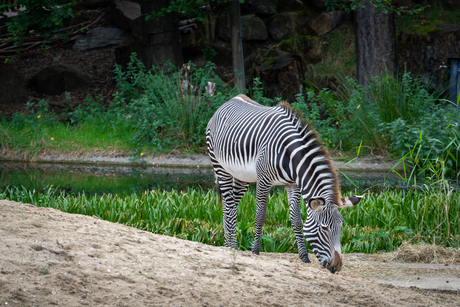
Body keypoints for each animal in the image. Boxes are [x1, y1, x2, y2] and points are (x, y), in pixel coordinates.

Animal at [206, 94, 362, 274]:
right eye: (324, 228)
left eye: (341, 227)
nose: (337, 267)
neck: (291, 157)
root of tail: (231, 99)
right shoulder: (264, 180)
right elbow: (260, 215)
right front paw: (255, 250)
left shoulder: (293, 184)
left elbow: (297, 220)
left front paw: (304, 256)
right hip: (220, 167)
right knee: (230, 206)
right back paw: (232, 247)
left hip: (241, 176)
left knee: (228, 204)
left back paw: (228, 245)